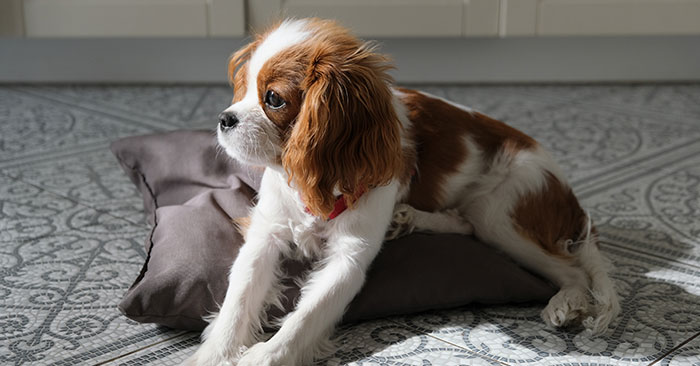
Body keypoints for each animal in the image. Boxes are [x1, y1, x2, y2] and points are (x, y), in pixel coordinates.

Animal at [185, 17, 616, 366]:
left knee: (571, 268)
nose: (225, 119)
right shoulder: (266, 233)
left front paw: (265, 356)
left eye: (273, 98)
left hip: (505, 209)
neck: (318, 178)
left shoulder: (349, 260)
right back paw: (410, 218)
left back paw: (566, 302)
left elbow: (306, 317)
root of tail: (569, 195)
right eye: (242, 89)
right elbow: (239, 297)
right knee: (467, 225)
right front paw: (214, 354)